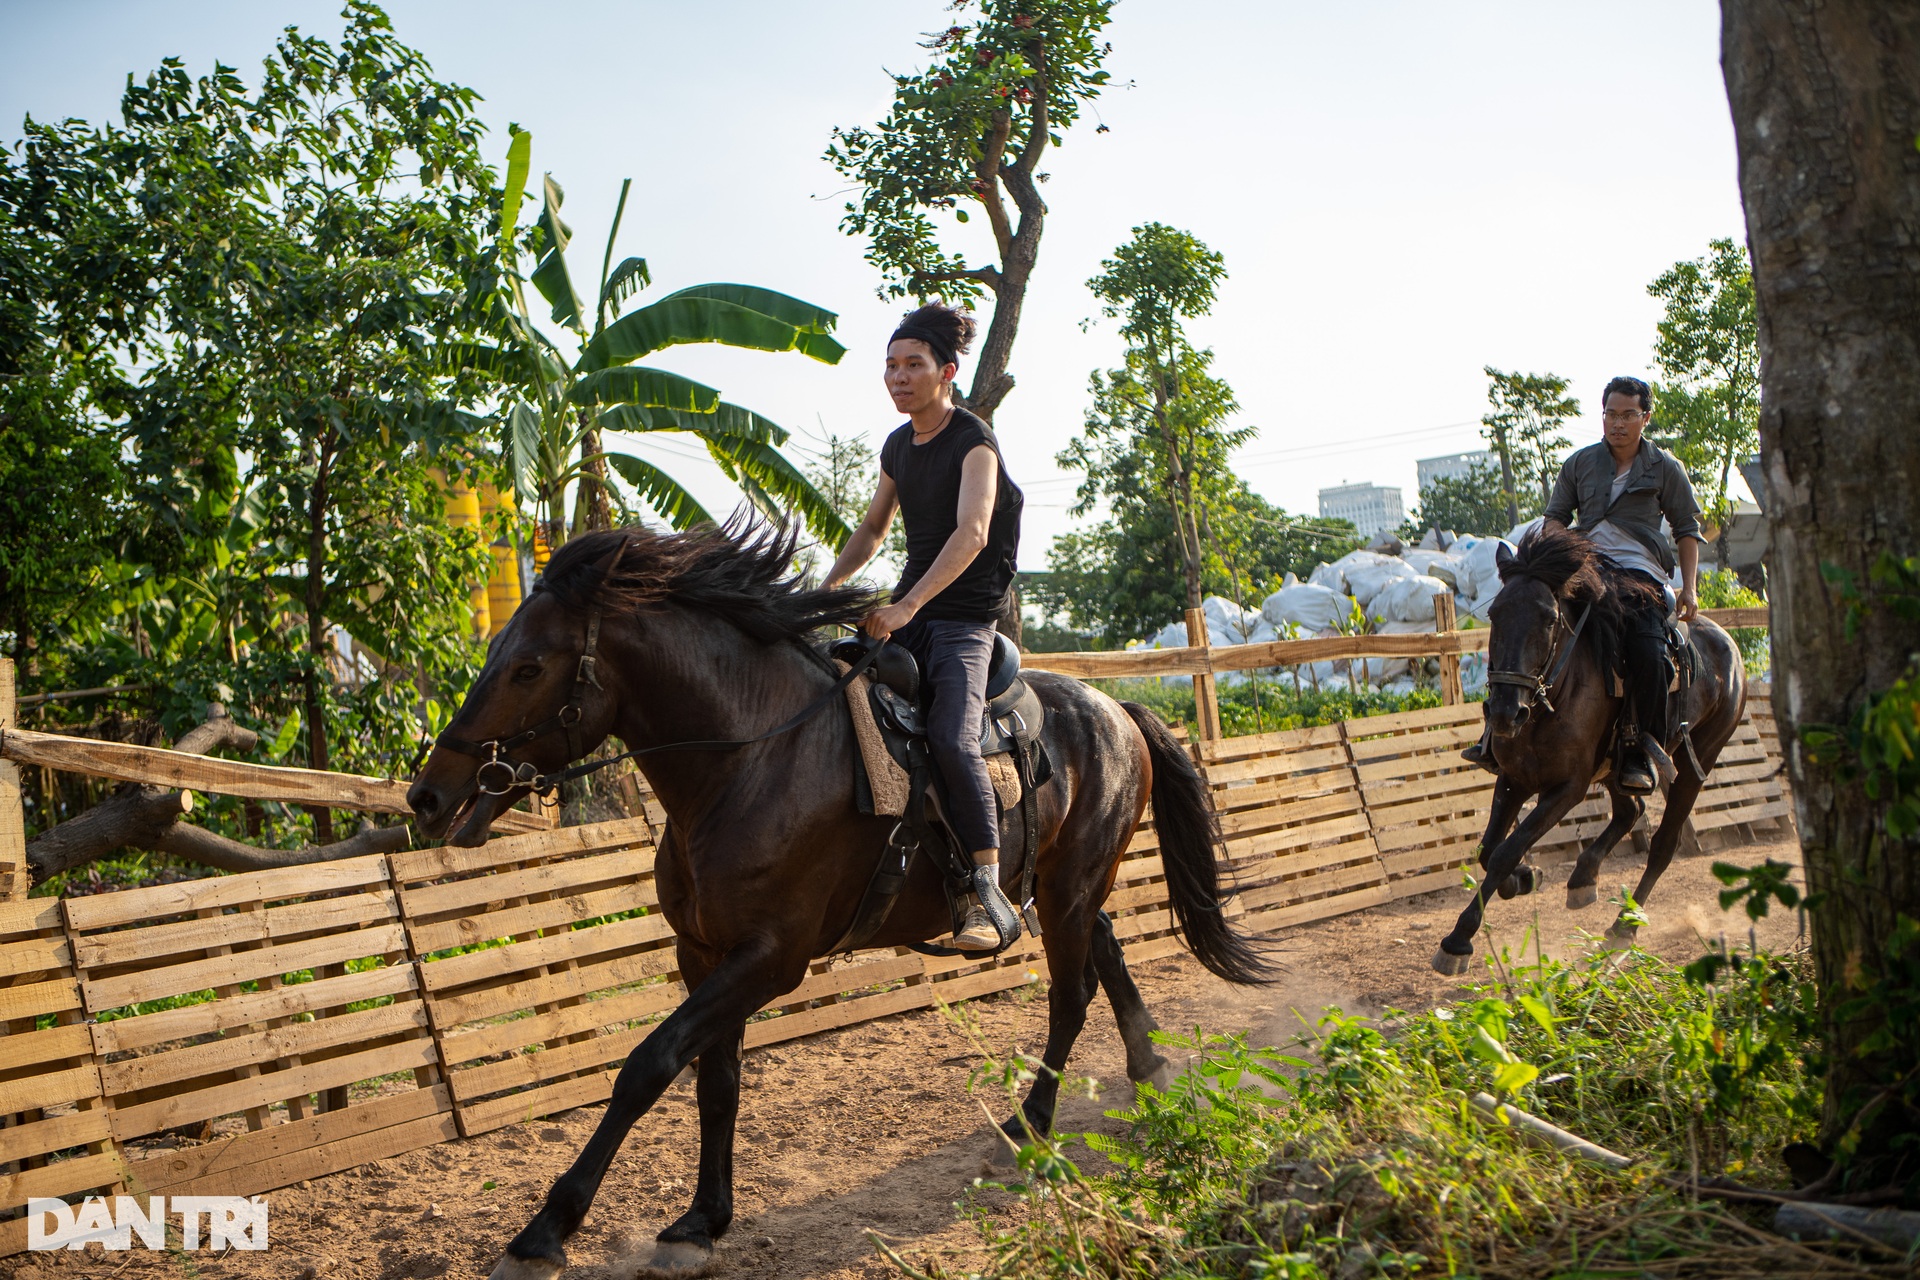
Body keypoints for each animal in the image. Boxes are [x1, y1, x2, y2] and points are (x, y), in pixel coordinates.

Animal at [407, 521, 1274, 1280]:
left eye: (528, 667)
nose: (428, 794)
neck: (751, 759)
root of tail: (1114, 709)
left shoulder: (771, 959)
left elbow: (649, 1065)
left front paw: (546, 1230)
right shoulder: (705, 954)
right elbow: (716, 1080)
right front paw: (700, 1222)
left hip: (1066, 889)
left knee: (1071, 993)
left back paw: (1030, 1125)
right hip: (1066, 884)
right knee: (1107, 950)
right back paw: (1150, 1068)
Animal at [1436, 525, 1751, 974]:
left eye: (1549, 619)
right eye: (1495, 614)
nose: (1505, 712)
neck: (1551, 699)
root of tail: (1728, 645)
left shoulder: (1568, 788)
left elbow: (1505, 851)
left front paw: (1457, 941)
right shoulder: (1514, 779)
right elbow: (1489, 850)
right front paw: (1524, 878)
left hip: (1696, 762)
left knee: (1662, 845)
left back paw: (1623, 927)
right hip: (1619, 765)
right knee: (1630, 810)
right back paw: (1583, 878)